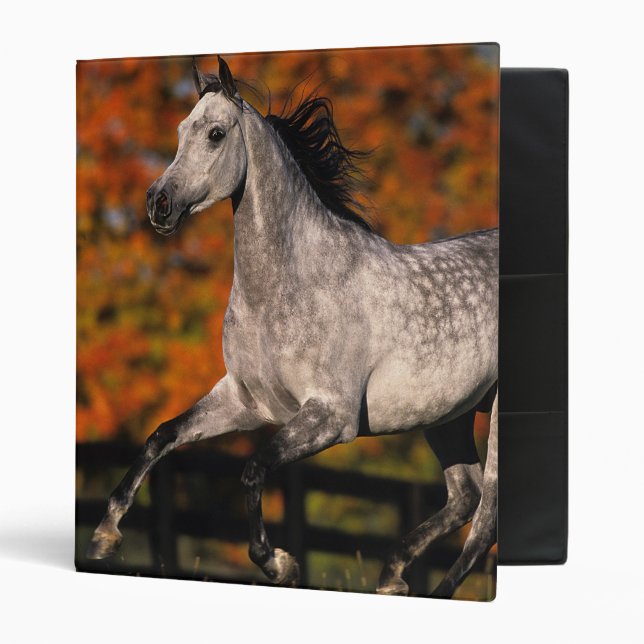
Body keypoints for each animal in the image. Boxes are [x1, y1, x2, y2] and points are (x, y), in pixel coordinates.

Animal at [86, 55, 499, 599]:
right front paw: (104, 536)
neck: (289, 285)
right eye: (178, 131)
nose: (159, 203)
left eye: (216, 134)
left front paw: (279, 563)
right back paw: (391, 577)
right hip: (446, 414)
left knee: (487, 517)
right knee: (465, 496)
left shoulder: (331, 416)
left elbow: (254, 469)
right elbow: (161, 436)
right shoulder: (244, 400)